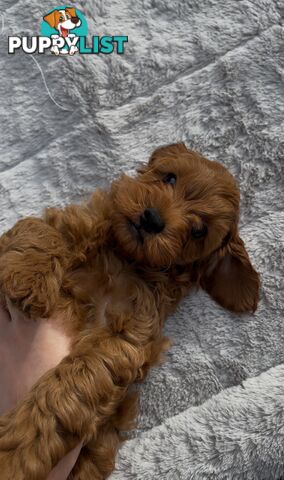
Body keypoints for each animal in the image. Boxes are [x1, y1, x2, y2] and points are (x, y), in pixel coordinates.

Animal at [0, 143, 258, 480]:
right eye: (170, 178)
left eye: (199, 231)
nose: (152, 218)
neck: (125, 257)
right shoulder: (76, 221)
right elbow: (39, 228)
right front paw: (26, 278)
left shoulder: (124, 337)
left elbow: (70, 387)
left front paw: (17, 455)